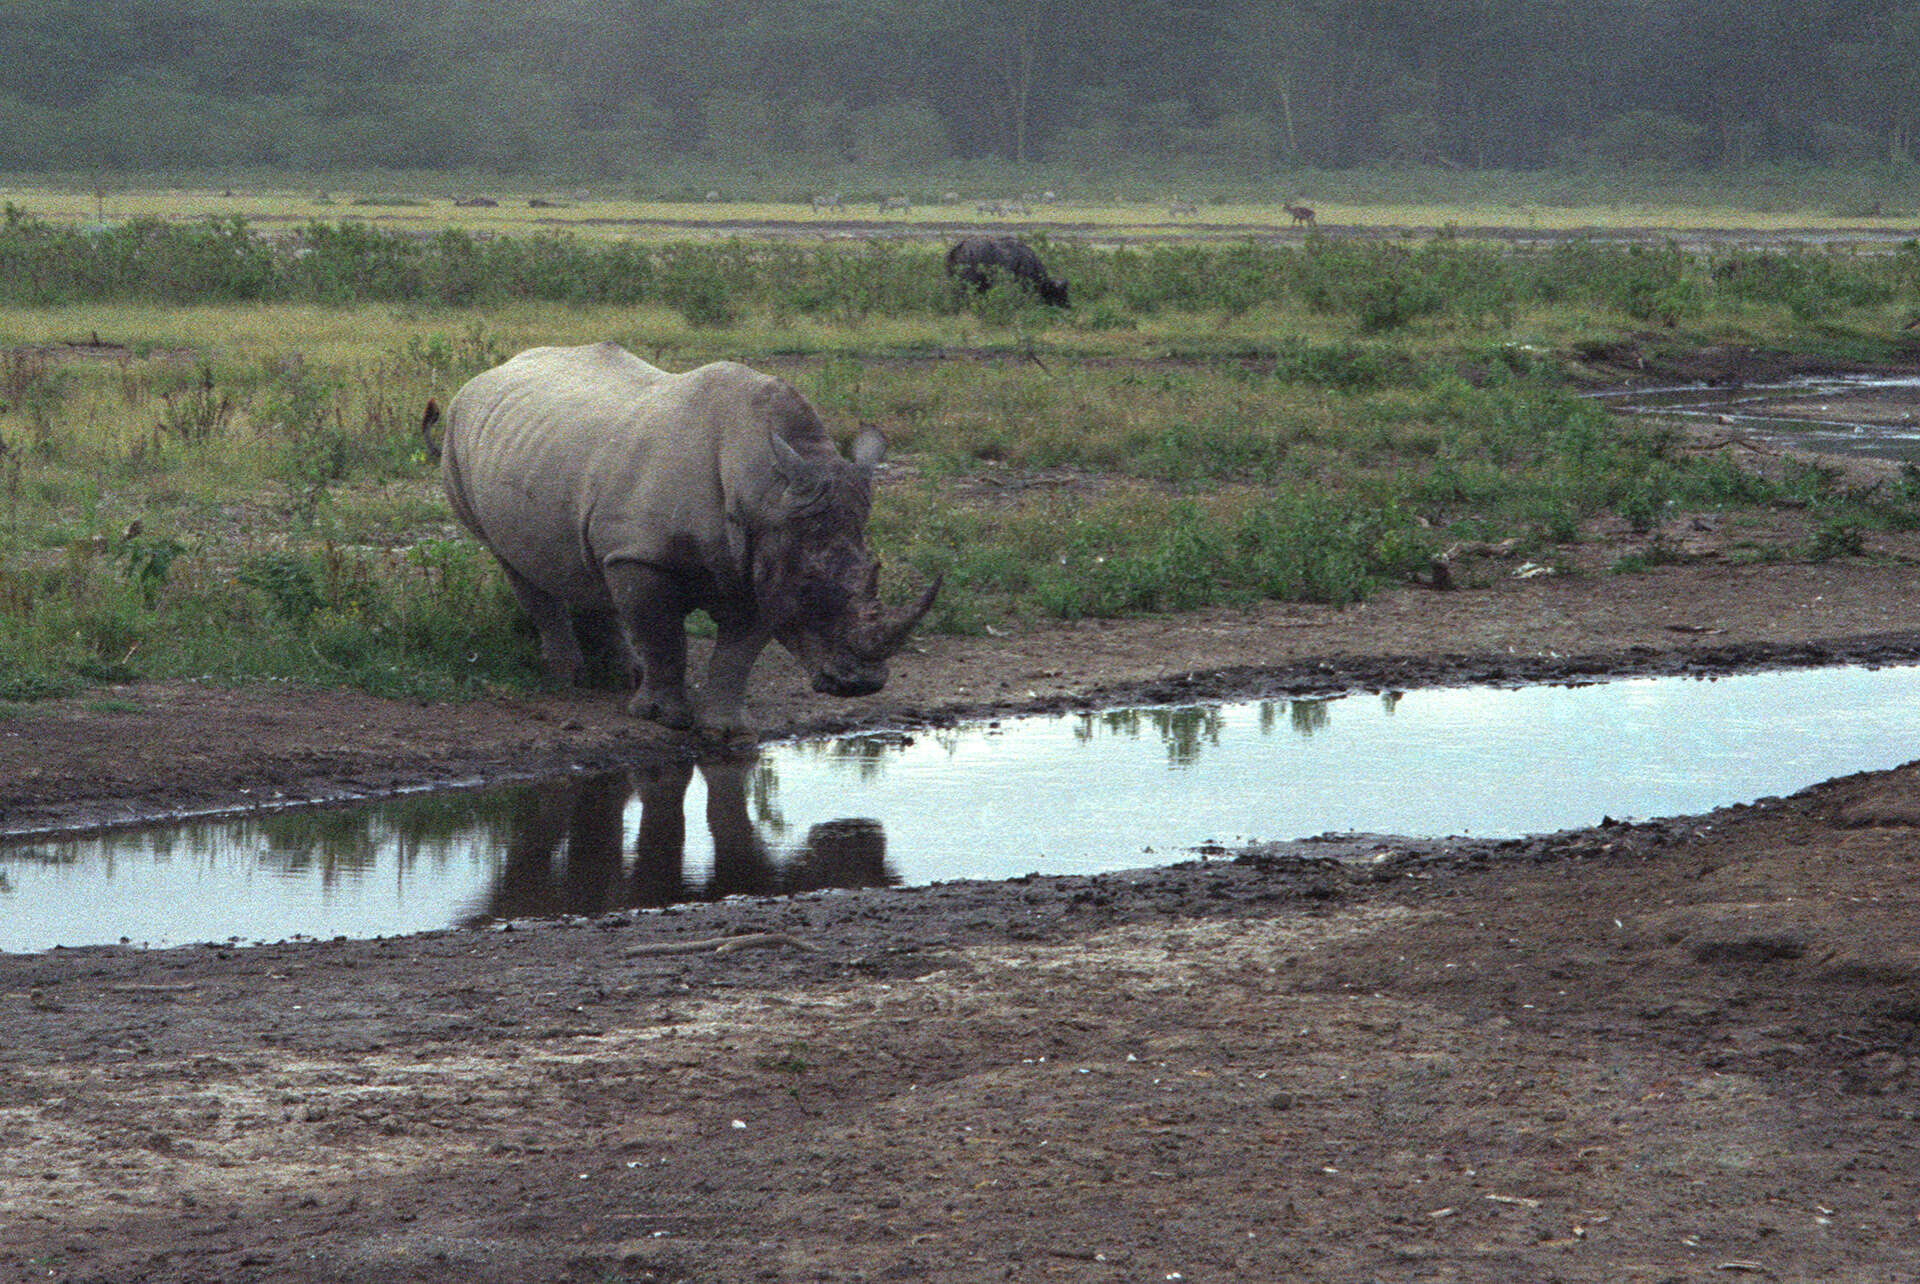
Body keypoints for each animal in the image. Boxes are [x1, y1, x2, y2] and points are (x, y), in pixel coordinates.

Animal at [437, 339, 944, 737]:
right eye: (809, 591)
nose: (863, 684)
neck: (763, 488)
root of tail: (491, 372)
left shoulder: (764, 559)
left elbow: (738, 654)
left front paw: (727, 730)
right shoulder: (646, 556)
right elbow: (665, 637)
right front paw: (662, 717)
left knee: (590, 565)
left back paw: (622, 677)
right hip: (458, 435)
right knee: (513, 561)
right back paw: (569, 678)